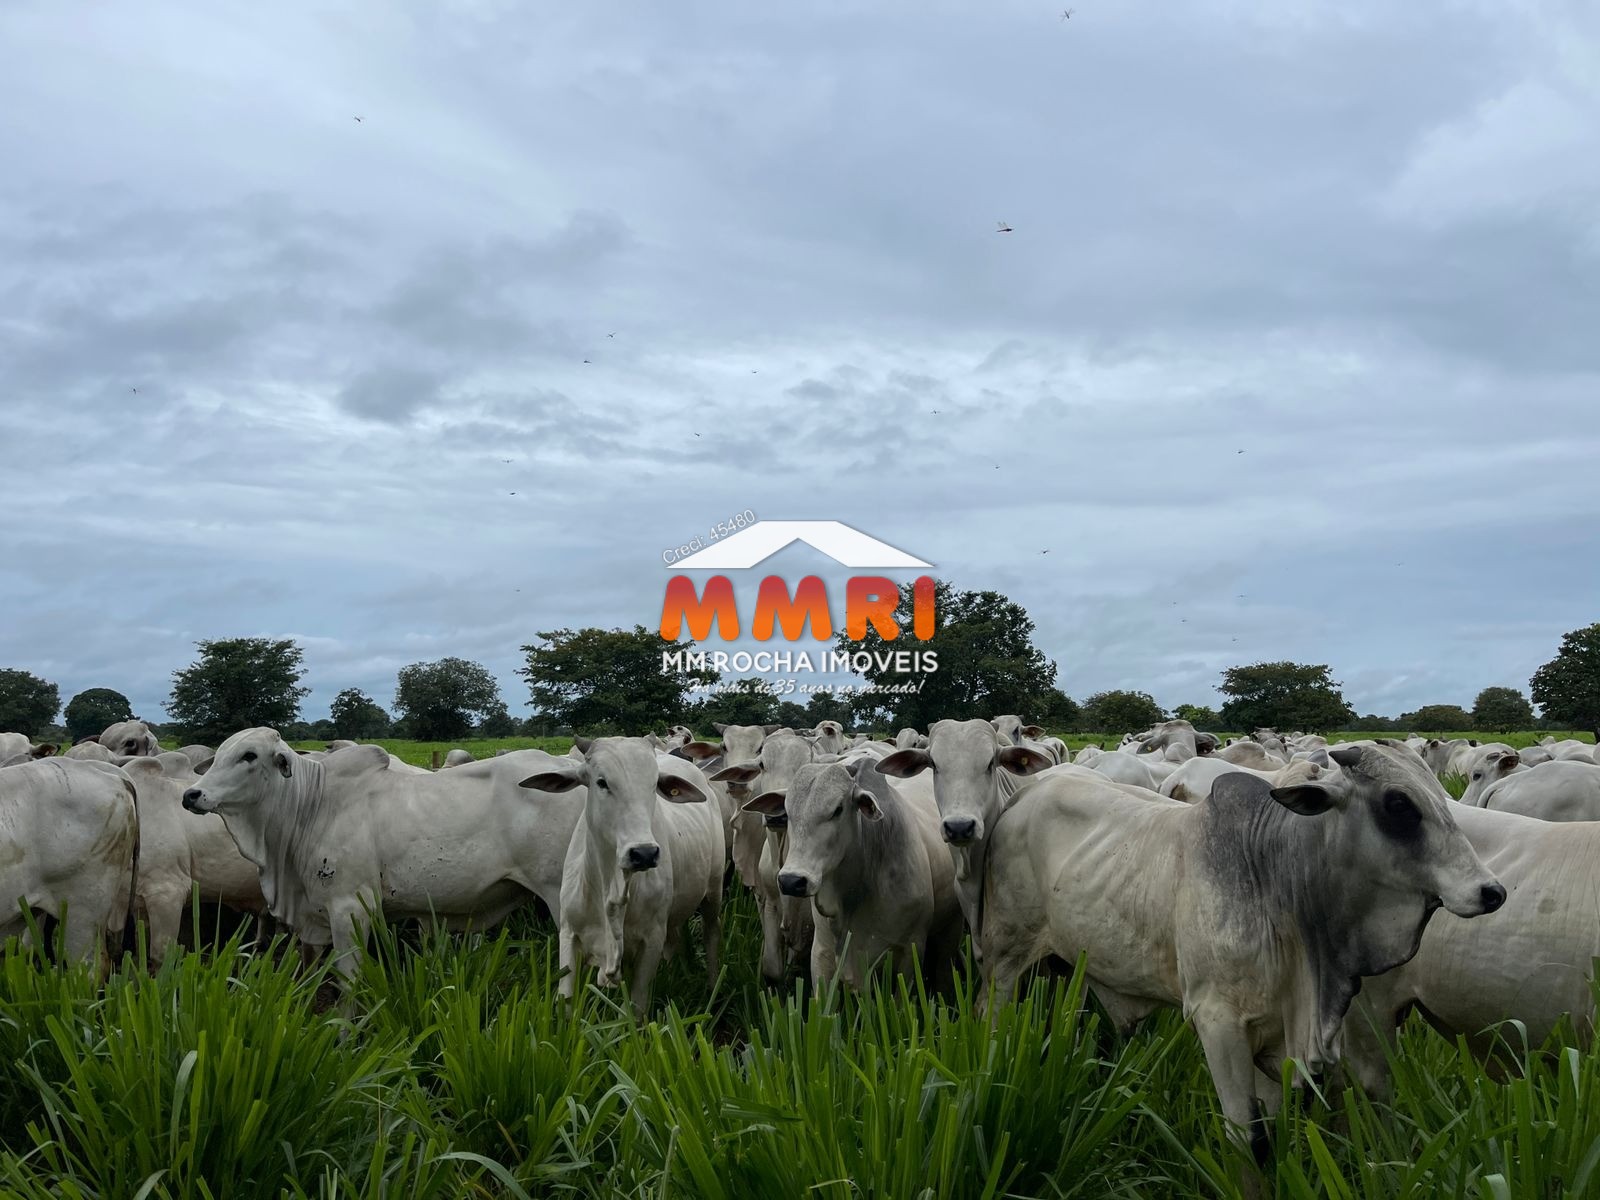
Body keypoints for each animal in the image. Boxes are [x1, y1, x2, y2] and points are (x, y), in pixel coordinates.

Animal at [183, 732, 588, 979]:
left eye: (249, 755)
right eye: (218, 755)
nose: (192, 794)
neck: (312, 804)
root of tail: (576, 772)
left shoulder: (350, 909)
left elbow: (348, 984)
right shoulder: (313, 918)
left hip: (562, 898)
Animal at [515, 739, 723, 1017]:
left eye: (654, 784)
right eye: (602, 782)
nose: (644, 853)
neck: (609, 886)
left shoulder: (651, 939)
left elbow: (635, 1010)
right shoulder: (569, 934)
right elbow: (566, 1003)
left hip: (714, 890)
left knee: (711, 935)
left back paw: (713, 988)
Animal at [979, 748, 1504, 1171]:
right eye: (1398, 804)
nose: (1492, 891)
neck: (1277, 877)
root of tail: (1024, 796)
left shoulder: (1279, 1031)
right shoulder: (1218, 1022)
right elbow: (1248, 1140)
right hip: (1002, 958)